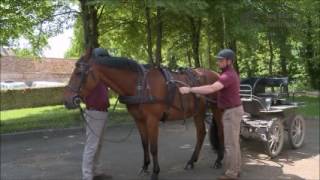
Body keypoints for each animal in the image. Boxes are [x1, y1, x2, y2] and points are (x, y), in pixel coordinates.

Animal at [63, 48, 225, 180]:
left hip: (216, 109)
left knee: (221, 131)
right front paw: (145, 166)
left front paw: (155, 172)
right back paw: (191, 162)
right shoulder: (139, 120)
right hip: (198, 111)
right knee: (201, 133)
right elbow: (144, 143)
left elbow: (153, 147)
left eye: (78, 73)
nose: (67, 100)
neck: (140, 85)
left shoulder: (152, 120)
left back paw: (219, 160)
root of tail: (216, 74)